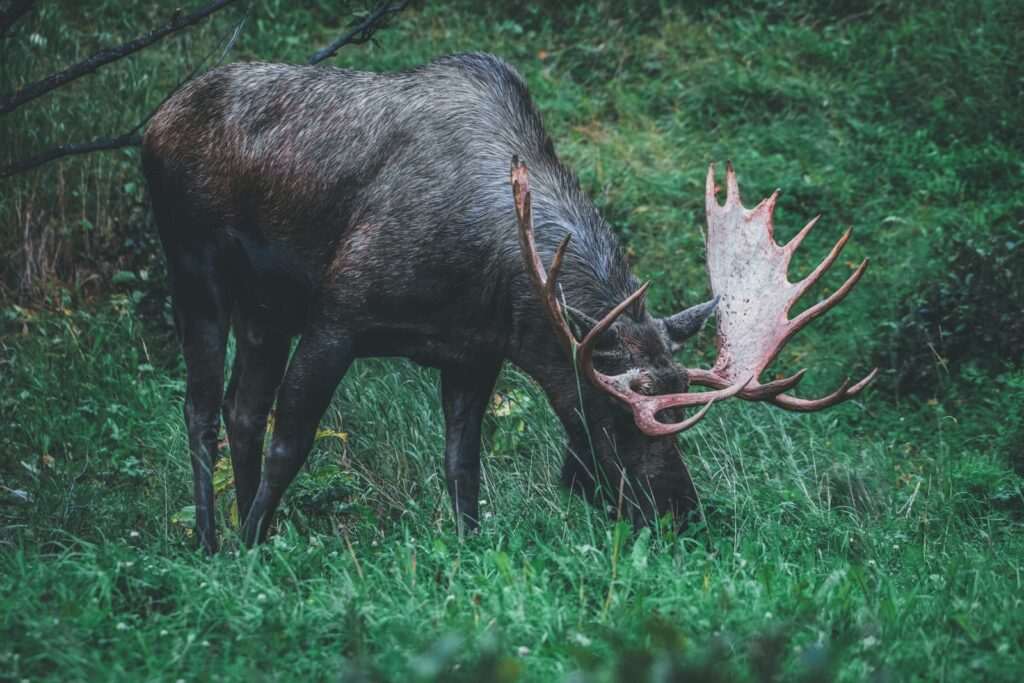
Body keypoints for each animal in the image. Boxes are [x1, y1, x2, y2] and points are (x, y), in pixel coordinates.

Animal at [141, 53, 875, 554]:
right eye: (610, 416)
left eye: (680, 413)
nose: (680, 514)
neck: (493, 275)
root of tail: (153, 122)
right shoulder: (337, 316)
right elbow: (291, 443)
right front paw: (251, 549)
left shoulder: (474, 353)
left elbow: (463, 468)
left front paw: (467, 550)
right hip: (195, 269)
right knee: (201, 408)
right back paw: (215, 539)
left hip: (265, 309)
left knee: (241, 409)